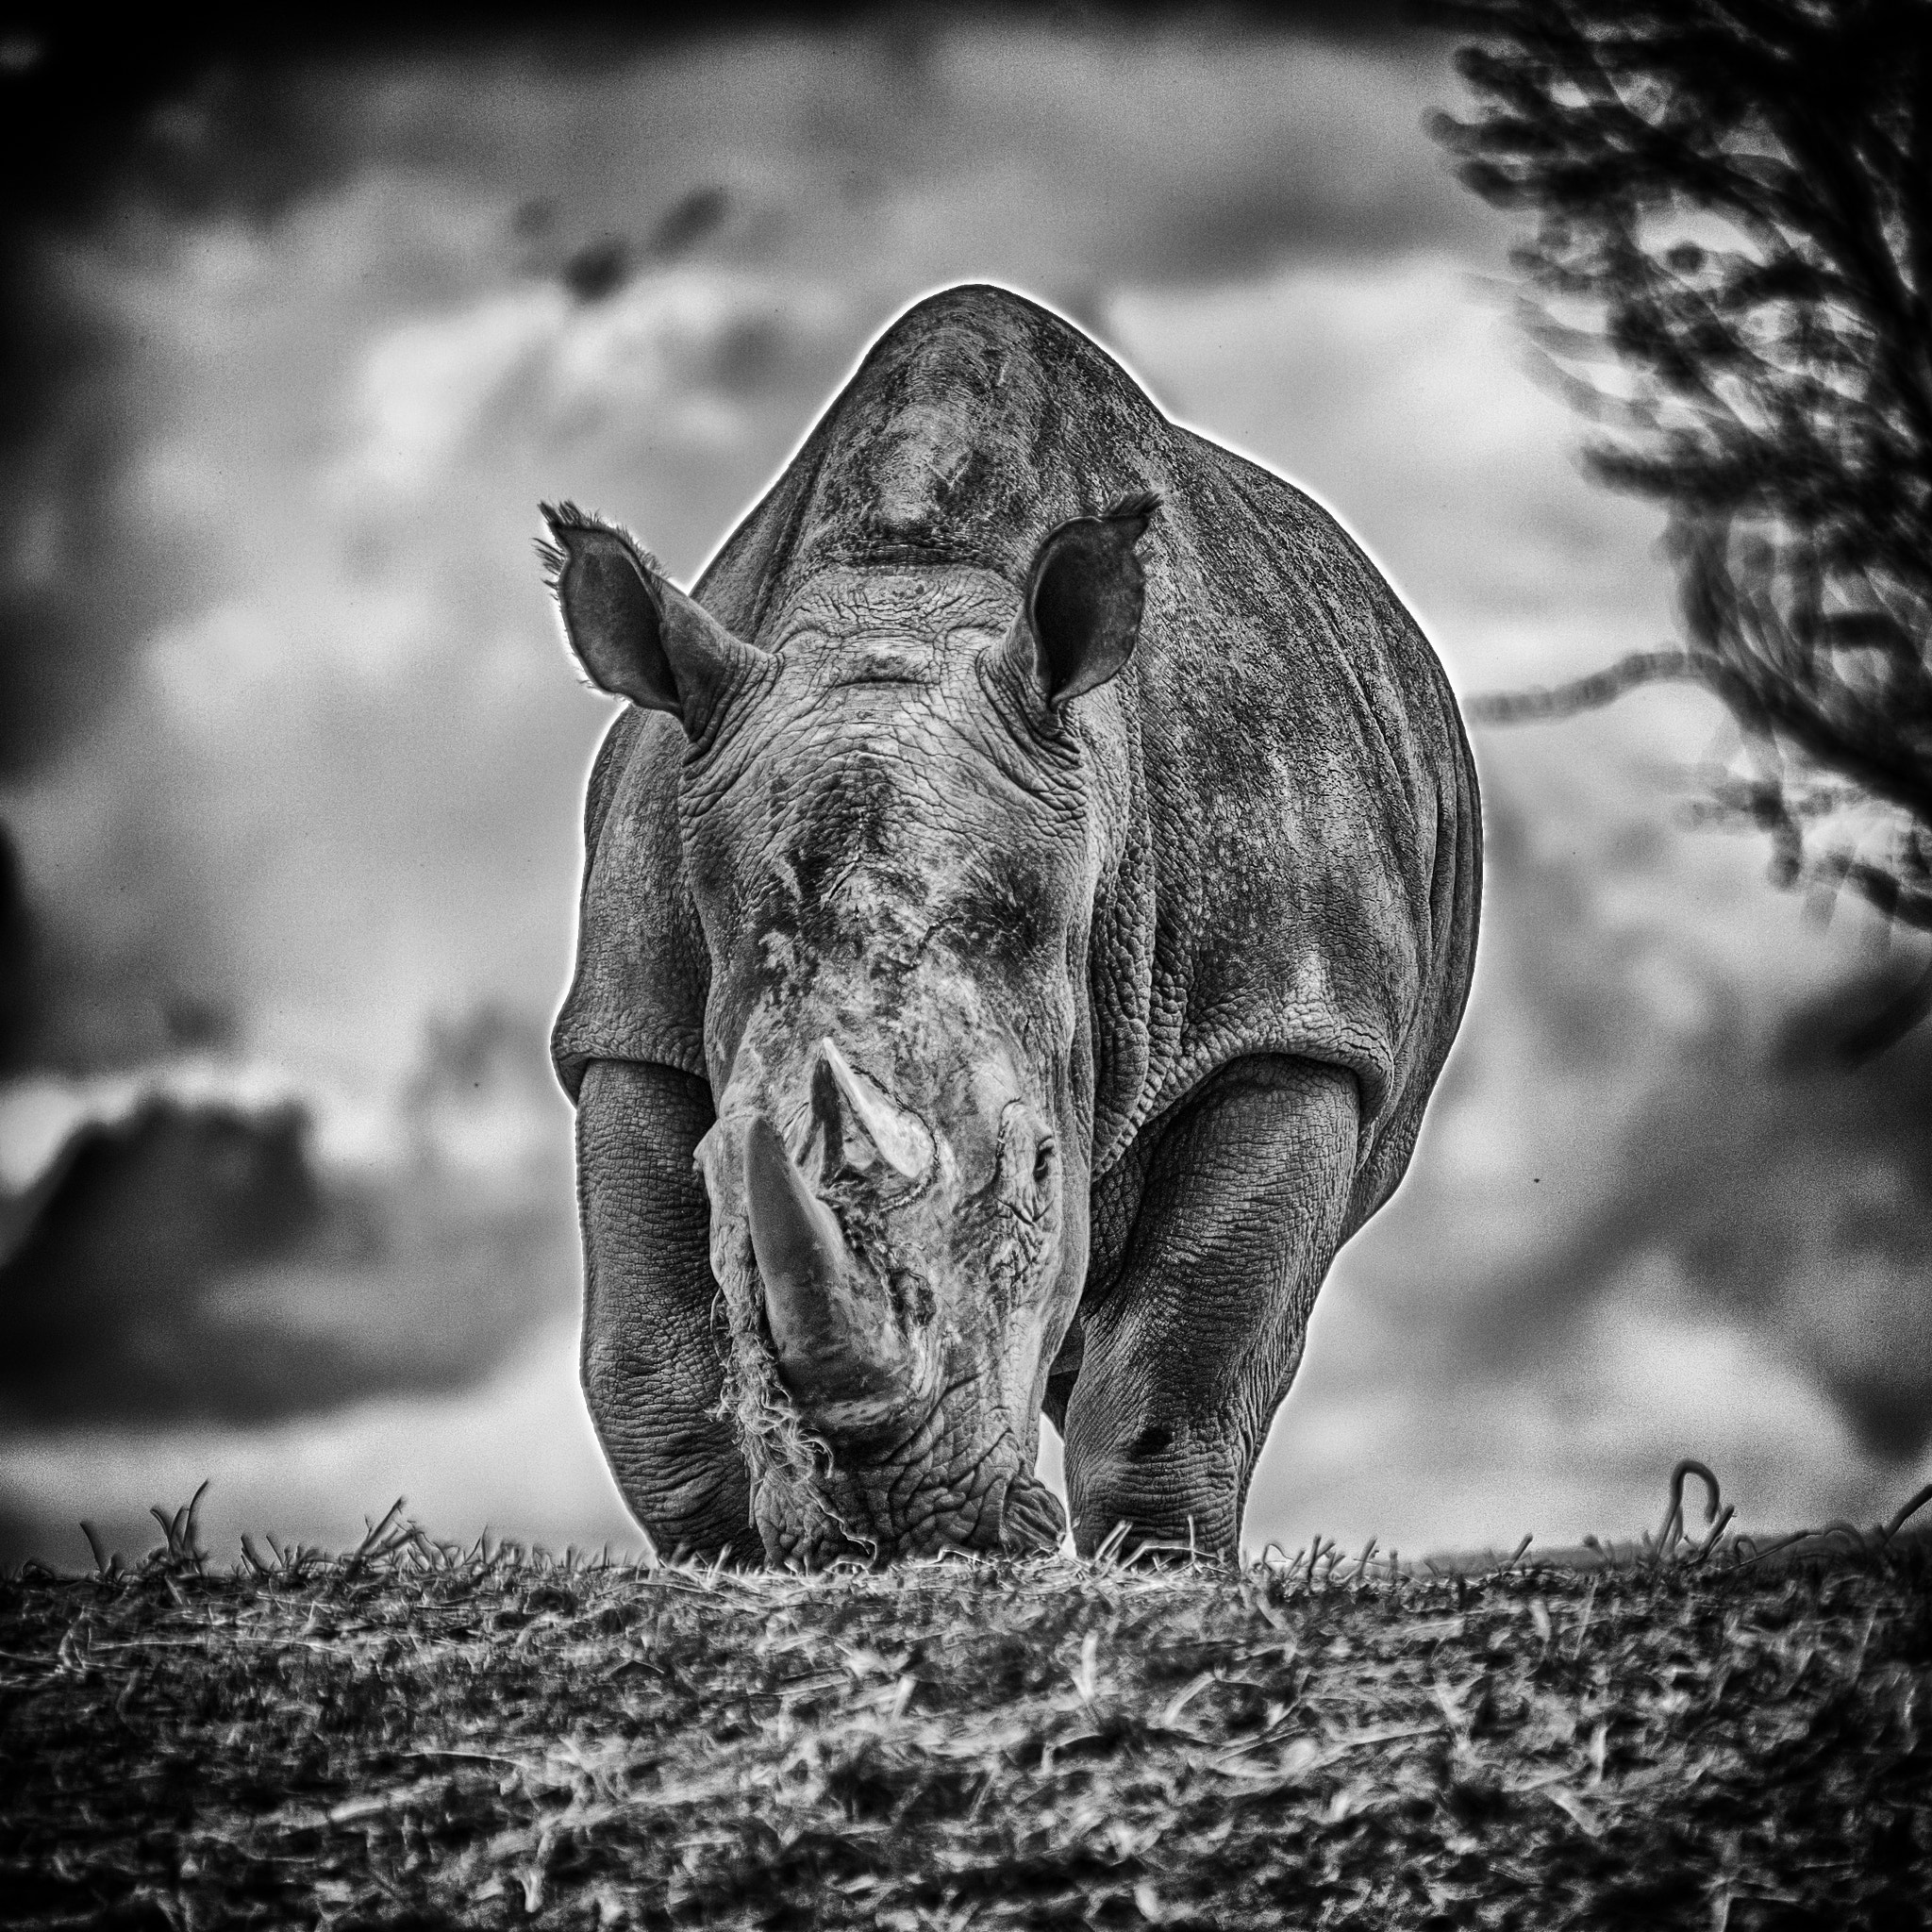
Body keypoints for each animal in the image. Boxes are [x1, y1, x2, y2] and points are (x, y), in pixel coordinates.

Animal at [541, 283, 1479, 1567]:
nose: (890, 1525)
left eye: (1039, 1165)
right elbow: (649, 1367)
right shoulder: (630, 1009)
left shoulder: (1292, 1017)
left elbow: (1176, 1370)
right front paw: (736, 1553)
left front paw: (1164, 1569)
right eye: (718, 1166)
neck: (905, 603)